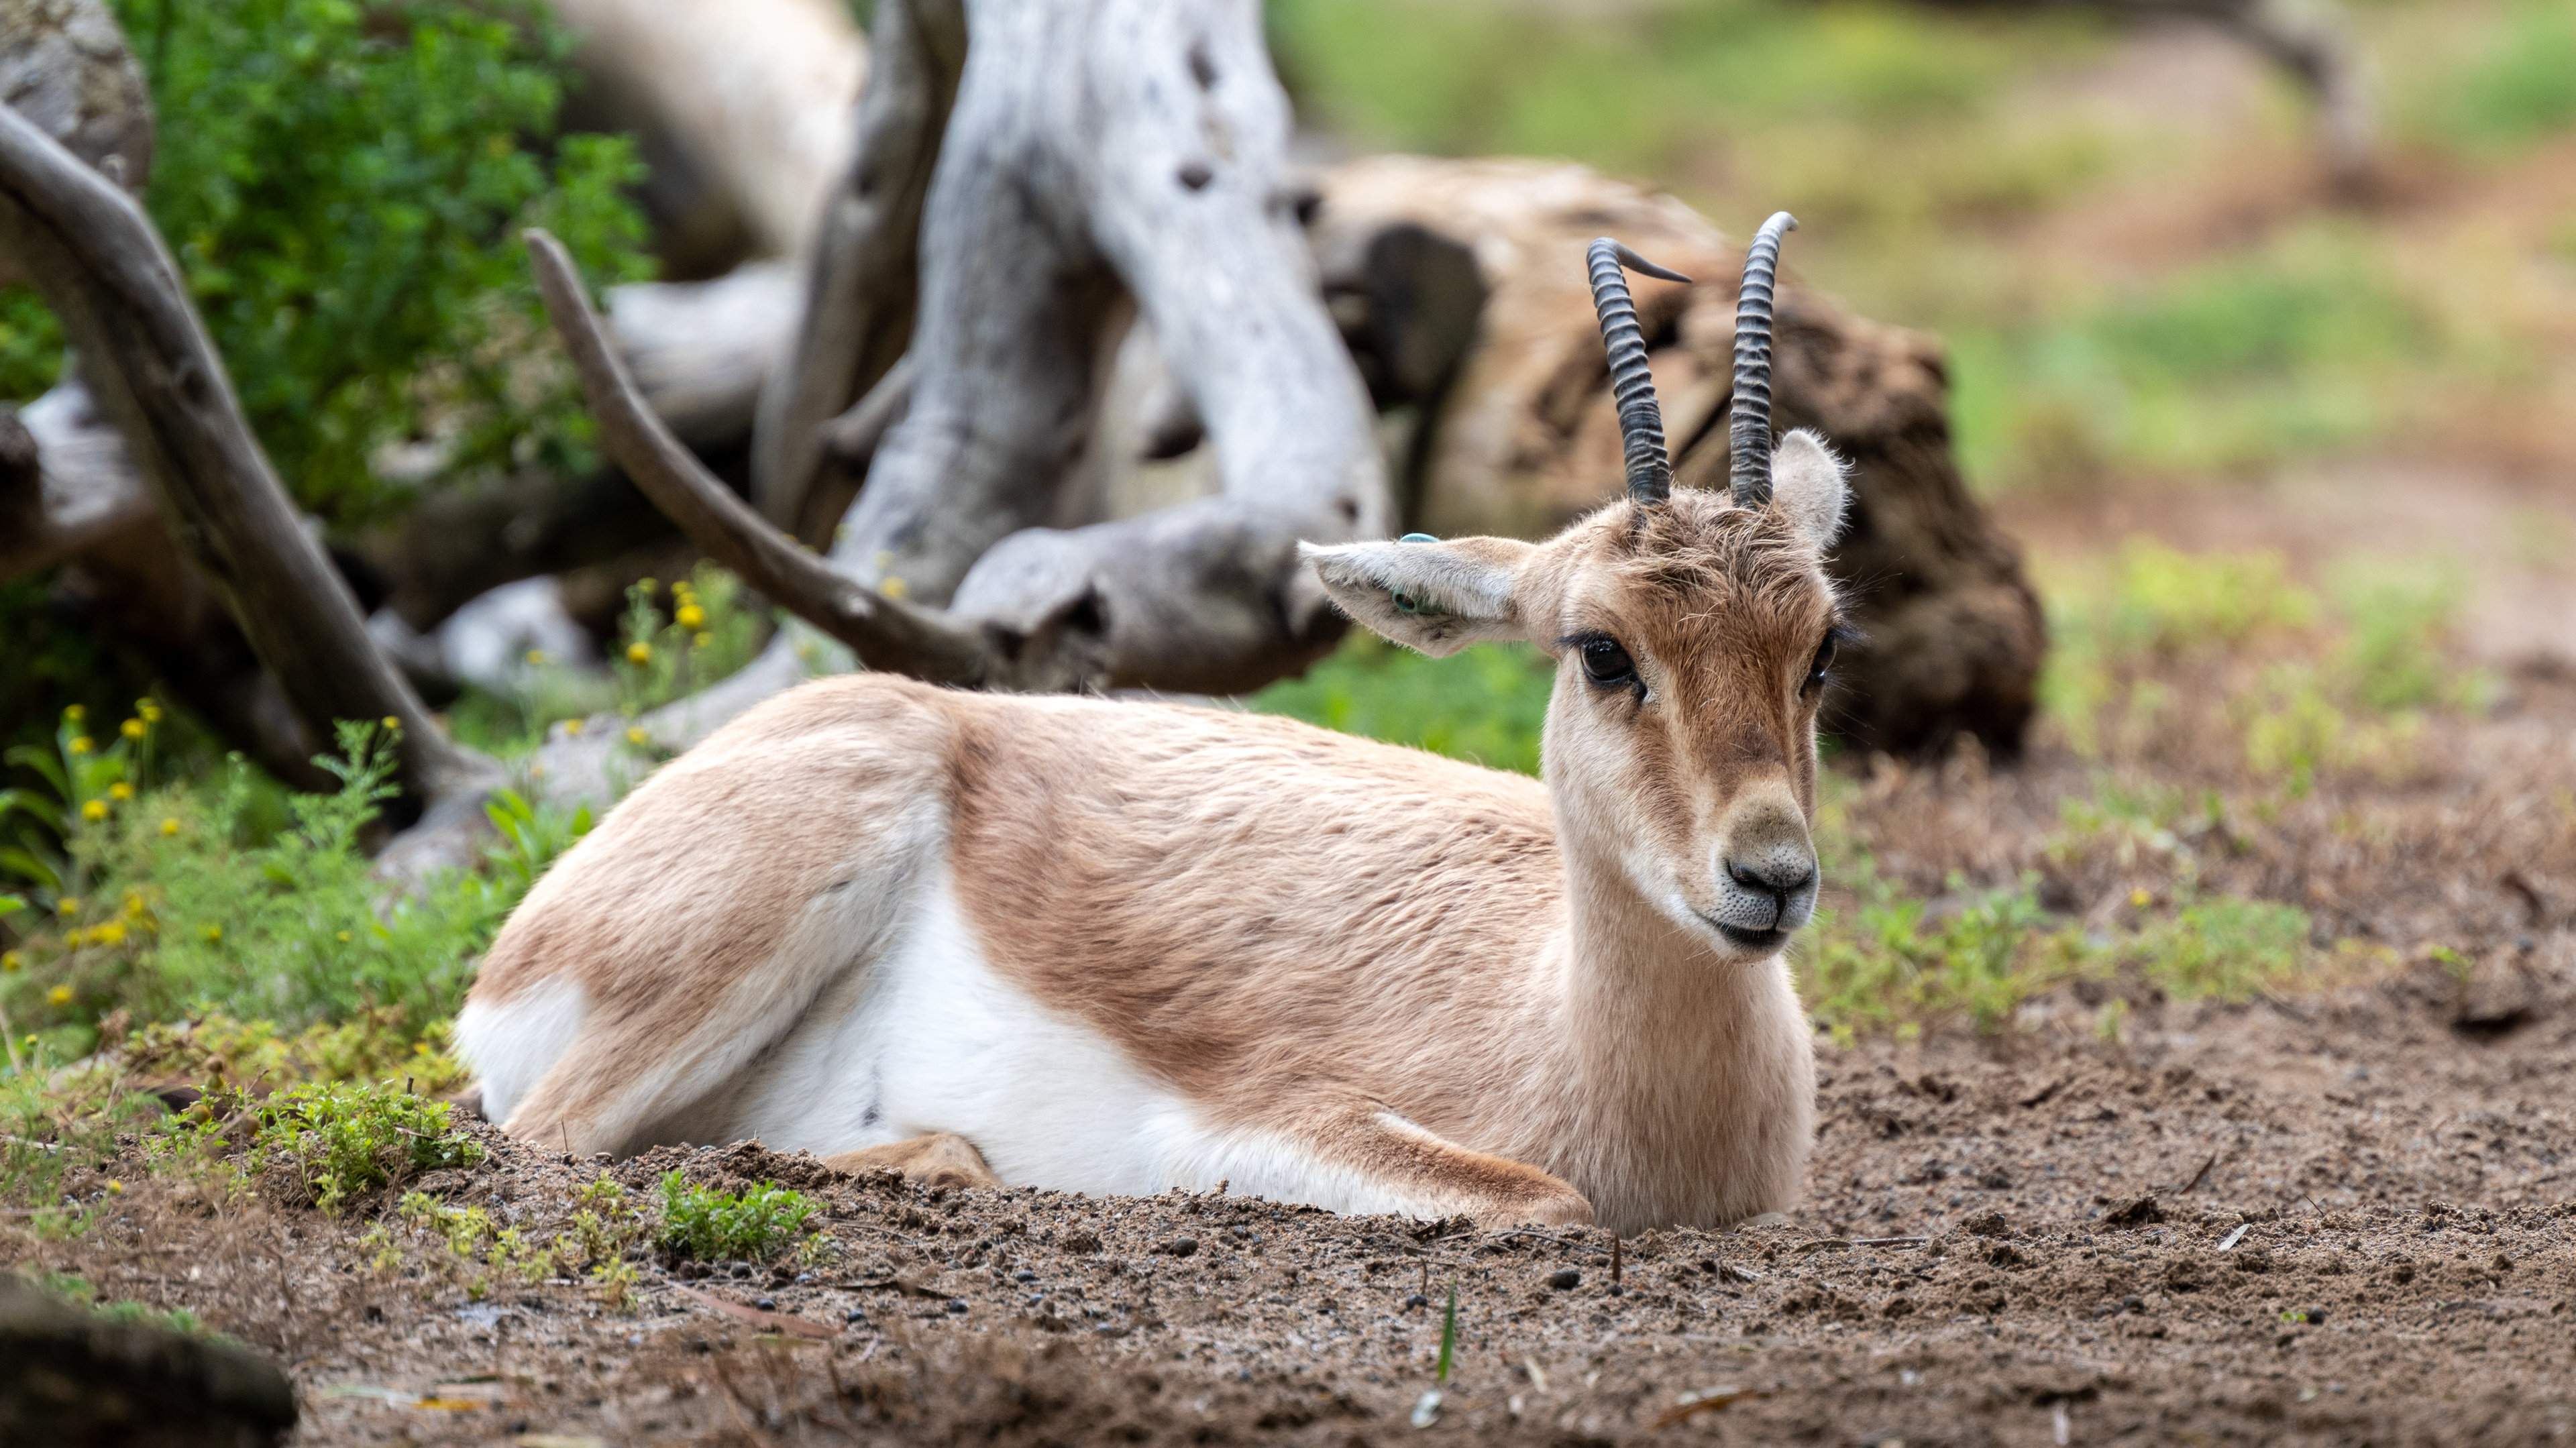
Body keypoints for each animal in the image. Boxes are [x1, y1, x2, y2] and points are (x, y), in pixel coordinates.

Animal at [459, 215, 1846, 1234]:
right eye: (1602, 647)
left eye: (1823, 646)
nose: (1771, 875)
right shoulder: (1248, 1125)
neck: (1552, 1018)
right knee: (548, 1141)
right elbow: (1550, 1201)